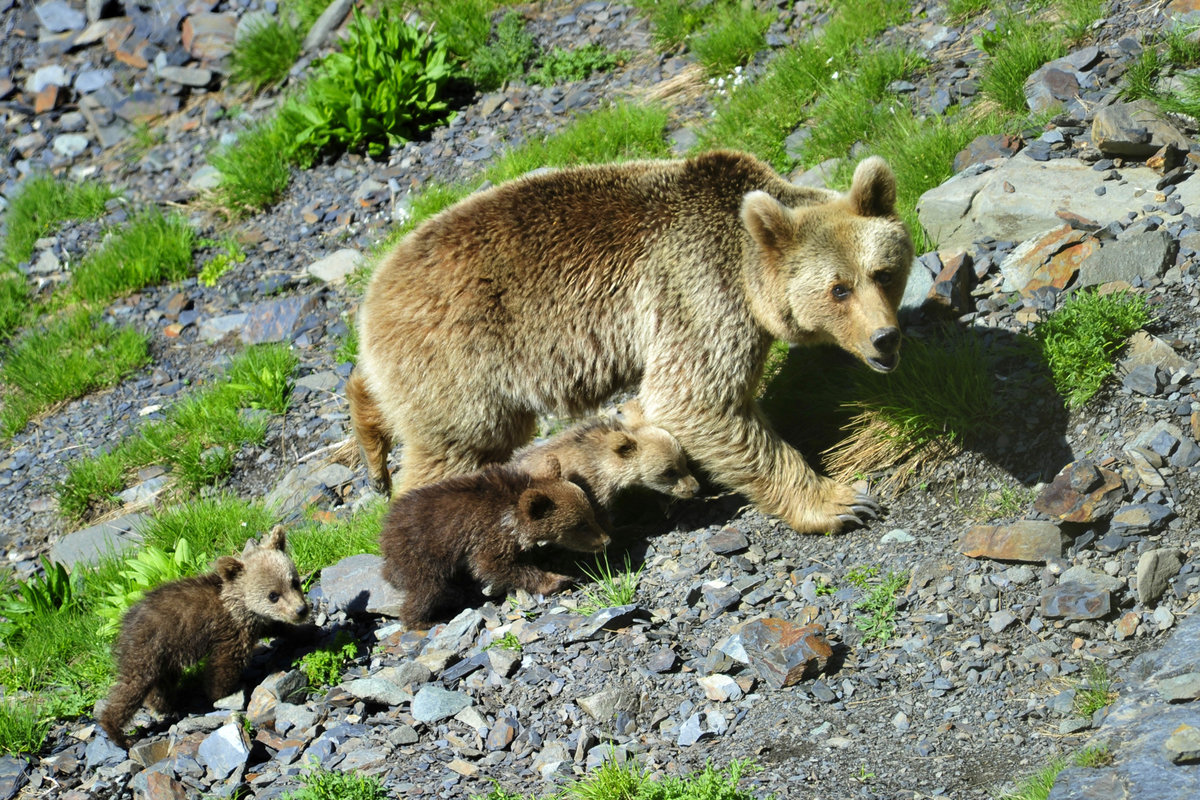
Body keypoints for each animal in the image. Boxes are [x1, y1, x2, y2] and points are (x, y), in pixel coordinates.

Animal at [99, 526, 309, 748]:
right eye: (273, 595)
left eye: (294, 582)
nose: (301, 610)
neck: (239, 604)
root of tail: (124, 622)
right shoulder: (231, 631)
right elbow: (223, 665)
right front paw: (222, 693)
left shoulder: (254, 622)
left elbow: (276, 627)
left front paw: (306, 631)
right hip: (147, 649)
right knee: (131, 687)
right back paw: (118, 733)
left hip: (166, 656)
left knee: (161, 684)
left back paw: (166, 705)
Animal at [379, 455, 610, 628]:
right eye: (581, 525)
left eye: (591, 515)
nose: (606, 540)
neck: (511, 516)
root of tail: (385, 535)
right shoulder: (488, 533)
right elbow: (491, 564)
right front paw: (556, 579)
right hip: (419, 555)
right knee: (426, 590)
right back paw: (425, 620)